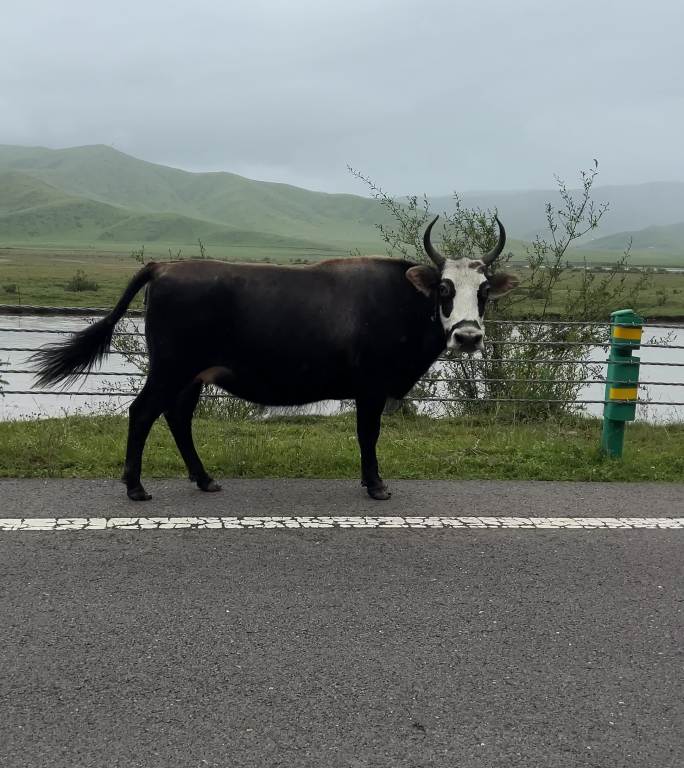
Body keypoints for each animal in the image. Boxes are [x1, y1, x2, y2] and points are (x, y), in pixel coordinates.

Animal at [32, 218, 512, 504]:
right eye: (445, 288)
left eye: (484, 290)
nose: (469, 336)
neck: (401, 301)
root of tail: (165, 267)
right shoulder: (371, 386)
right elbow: (368, 434)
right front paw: (376, 485)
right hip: (171, 368)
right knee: (143, 412)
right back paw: (135, 487)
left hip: (191, 376)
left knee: (177, 417)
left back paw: (204, 478)